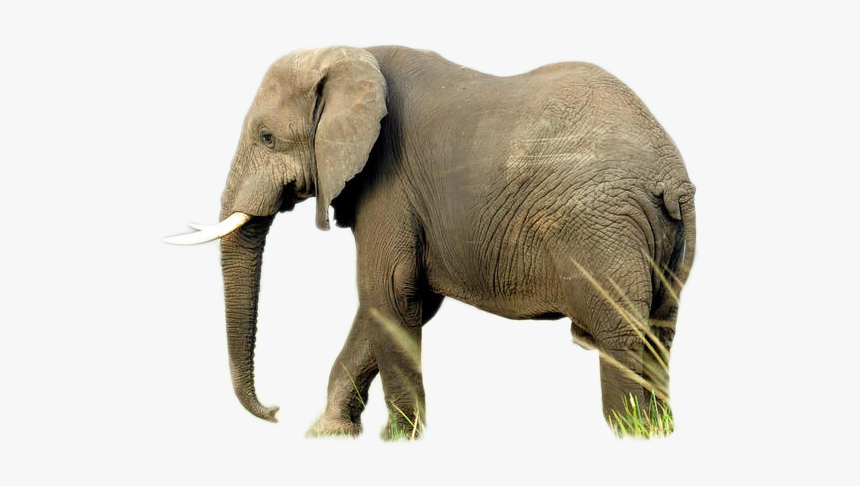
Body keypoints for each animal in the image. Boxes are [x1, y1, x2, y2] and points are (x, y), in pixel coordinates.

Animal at [165, 45, 696, 438]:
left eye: (266, 137)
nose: (275, 411)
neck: (353, 57)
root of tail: (668, 175)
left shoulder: (389, 181)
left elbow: (388, 292)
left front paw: (399, 441)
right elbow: (395, 303)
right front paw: (329, 435)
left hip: (601, 229)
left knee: (619, 334)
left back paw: (628, 435)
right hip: (664, 241)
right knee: (659, 332)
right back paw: (658, 434)